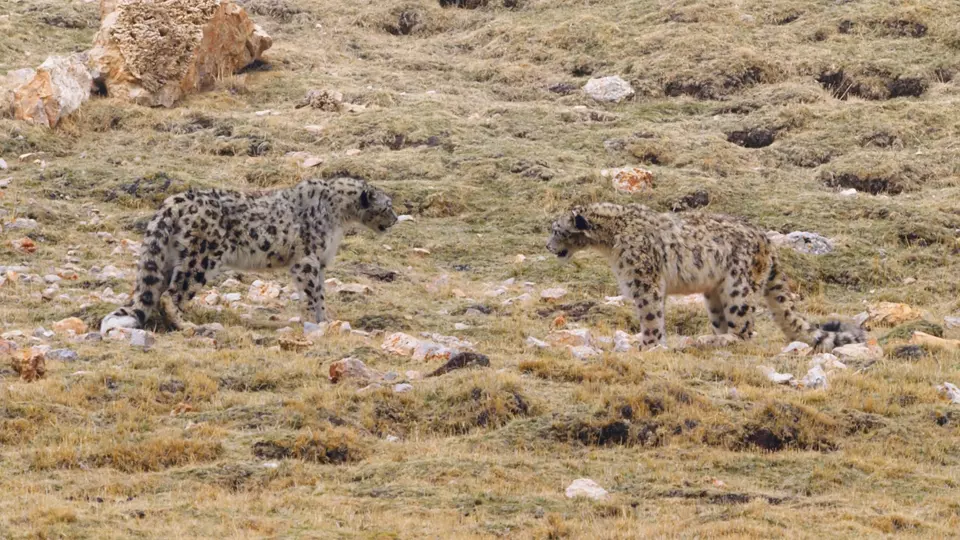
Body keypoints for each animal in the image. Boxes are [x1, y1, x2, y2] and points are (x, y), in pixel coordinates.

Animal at [99, 175, 396, 334]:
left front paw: (326, 319)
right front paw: (318, 322)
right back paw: (187, 325)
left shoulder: (320, 262)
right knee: (172, 294)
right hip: (201, 260)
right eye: (387, 205)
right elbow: (313, 293)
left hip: (171, 258)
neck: (340, 217)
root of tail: (174, 201)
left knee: (152, 292)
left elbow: (321, 292)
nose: (395, 219)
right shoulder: (307, 260)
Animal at [544, 202, 868, 350]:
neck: (610, 241)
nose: (548, 246)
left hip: (738, 289)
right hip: (714, 296)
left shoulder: (645, 283)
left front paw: (647, 345)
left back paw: (716, 341)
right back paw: (712, 338)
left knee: (745, 330)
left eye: (557, 229)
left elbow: (650, 317)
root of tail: (767, 240)